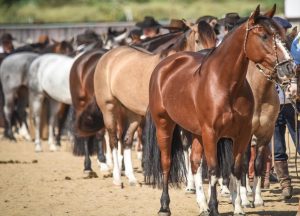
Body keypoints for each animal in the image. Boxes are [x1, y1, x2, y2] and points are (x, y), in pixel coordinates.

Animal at [94, 20, 218, 186]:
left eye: (215, 38)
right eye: (198, 40)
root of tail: (108, 55)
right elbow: (185, 146)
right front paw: (189, 183)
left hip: (132, 113)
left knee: (126, 139)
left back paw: (132, 178)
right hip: (109, 107)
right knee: (114, 139)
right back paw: (117, 178)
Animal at [144, 5, 296, 215]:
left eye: (282, 35)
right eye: (264, 35)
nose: (290, 68)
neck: (225, 84)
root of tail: (164, 65)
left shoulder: (242, 134)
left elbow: (236, 169)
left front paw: (238, 207)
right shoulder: (212, 134)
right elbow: (215, 170)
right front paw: (215, 207)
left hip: (196, 133)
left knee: (194, 162)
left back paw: (202, 204)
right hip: (165, 125)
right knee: (167, 163)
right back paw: (165, 206)